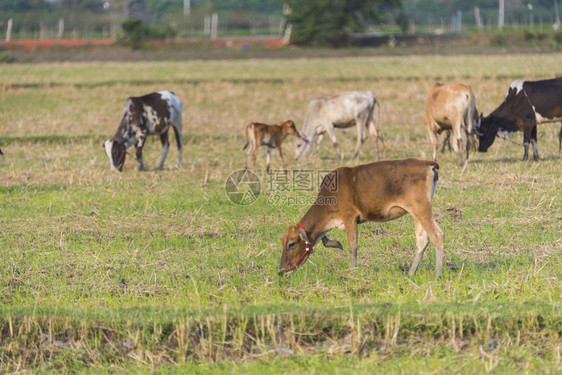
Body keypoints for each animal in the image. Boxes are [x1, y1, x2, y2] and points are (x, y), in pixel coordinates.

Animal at [278, 157, 444, 278]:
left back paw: (437, 275)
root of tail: (428, 163)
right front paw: (336, 244)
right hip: (416, 213)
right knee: (422, 241)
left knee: (437, 235)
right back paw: (410, 273)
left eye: (291, 244)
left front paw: (352, 272)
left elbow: (353, 246)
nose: (281, 271)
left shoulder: (350, 218)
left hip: (421, 209)